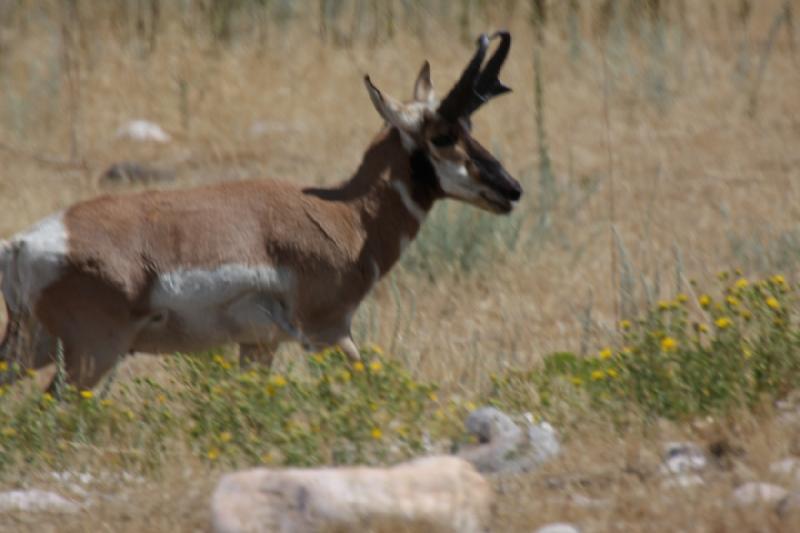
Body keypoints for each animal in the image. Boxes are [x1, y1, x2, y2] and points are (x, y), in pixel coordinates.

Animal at [0, 32, 520, 390]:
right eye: (442, 136)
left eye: (471, 128)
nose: (511, 189)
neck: (344, 216)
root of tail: (22, 244)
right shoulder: (328, 332)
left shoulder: (259, 345)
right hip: (93, 354)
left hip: (31, 347)